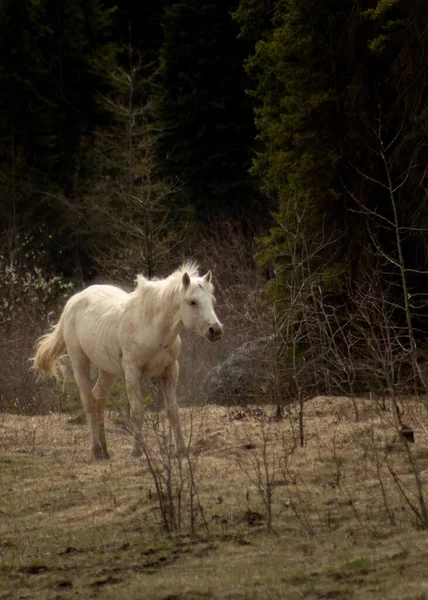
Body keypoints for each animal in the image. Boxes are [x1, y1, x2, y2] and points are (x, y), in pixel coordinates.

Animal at [31, 262, 222, 460]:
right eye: (192, 302)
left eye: (211, 300)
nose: (216, 330)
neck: (152, 327)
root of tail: (73, 301)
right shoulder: (132, 373)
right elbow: (137, 413)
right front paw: (136, 451)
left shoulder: (170, 371)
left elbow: (173, 412)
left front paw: (182, 451)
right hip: (79, 361)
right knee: (89, 402)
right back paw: (96, 451)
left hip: (108, 370)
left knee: (99, 398)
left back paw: (105, 450)